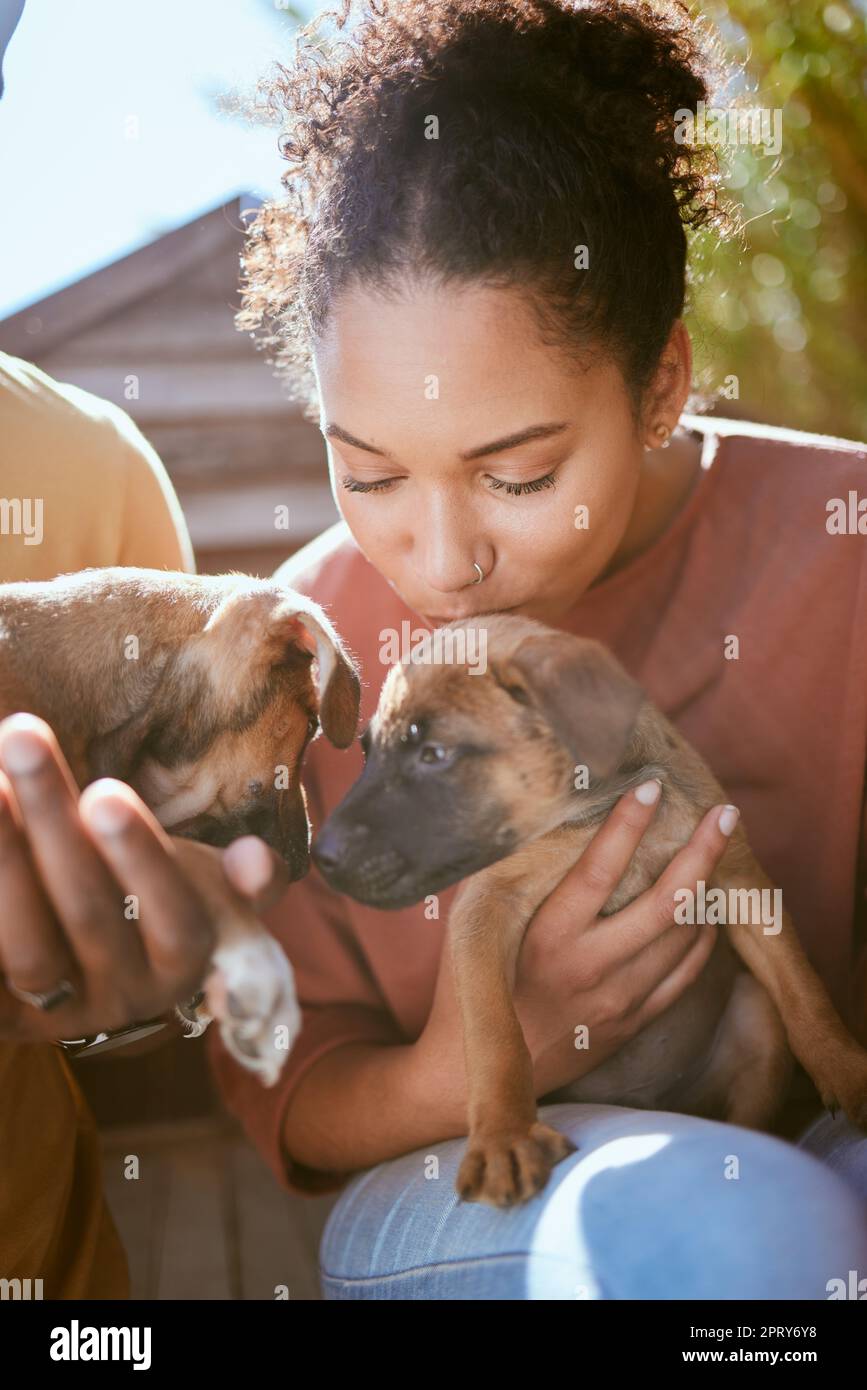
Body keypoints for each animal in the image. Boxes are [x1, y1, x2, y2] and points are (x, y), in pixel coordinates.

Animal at [315, 617, 867, 1206]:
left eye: (434, 754)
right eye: (367, 754)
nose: (320, 855)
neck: (593, 809)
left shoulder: (740, 879)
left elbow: (804, 991)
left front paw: (848, 1070)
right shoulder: (484, 909)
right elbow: (494, 1034)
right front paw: (505, 1136)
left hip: (755, 1017)